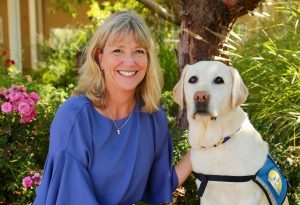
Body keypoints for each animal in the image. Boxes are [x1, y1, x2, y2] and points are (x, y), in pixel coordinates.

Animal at [173, 61, 288, 205]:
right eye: (192, 79)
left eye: (219, 80)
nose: (200, 96)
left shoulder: (247, 197)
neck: (217, 143)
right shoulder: (206, 196)